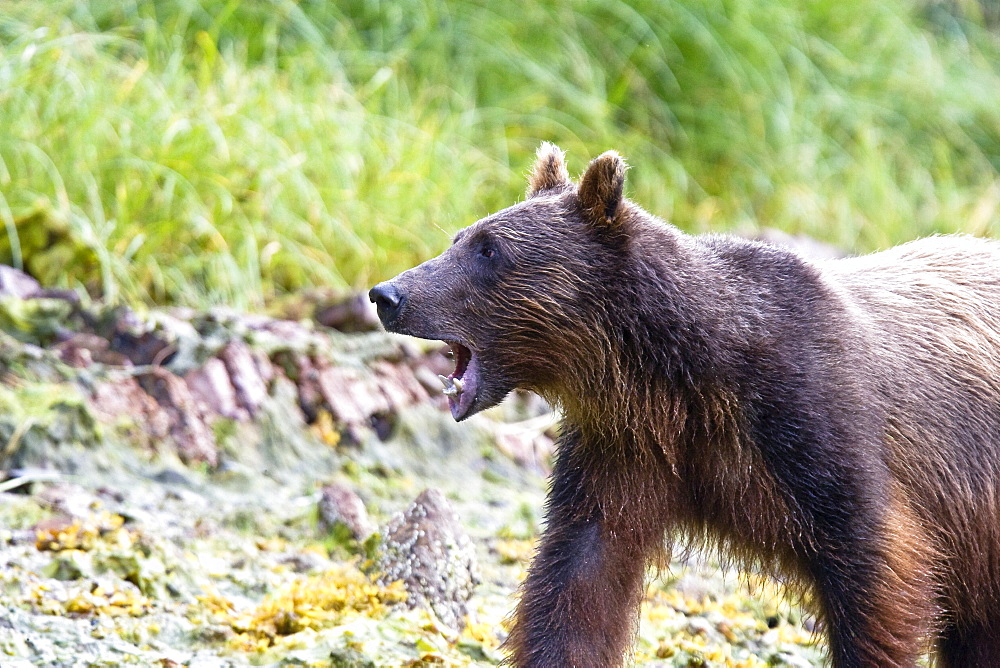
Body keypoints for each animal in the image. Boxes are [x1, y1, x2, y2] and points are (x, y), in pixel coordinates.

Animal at [372, 144, 1000, 664]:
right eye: (459, 237)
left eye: (489, 249)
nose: (387, 294)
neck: (677, 381)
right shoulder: (629, 450)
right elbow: (580, 575)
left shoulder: (816, 424)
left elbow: (876, 573)